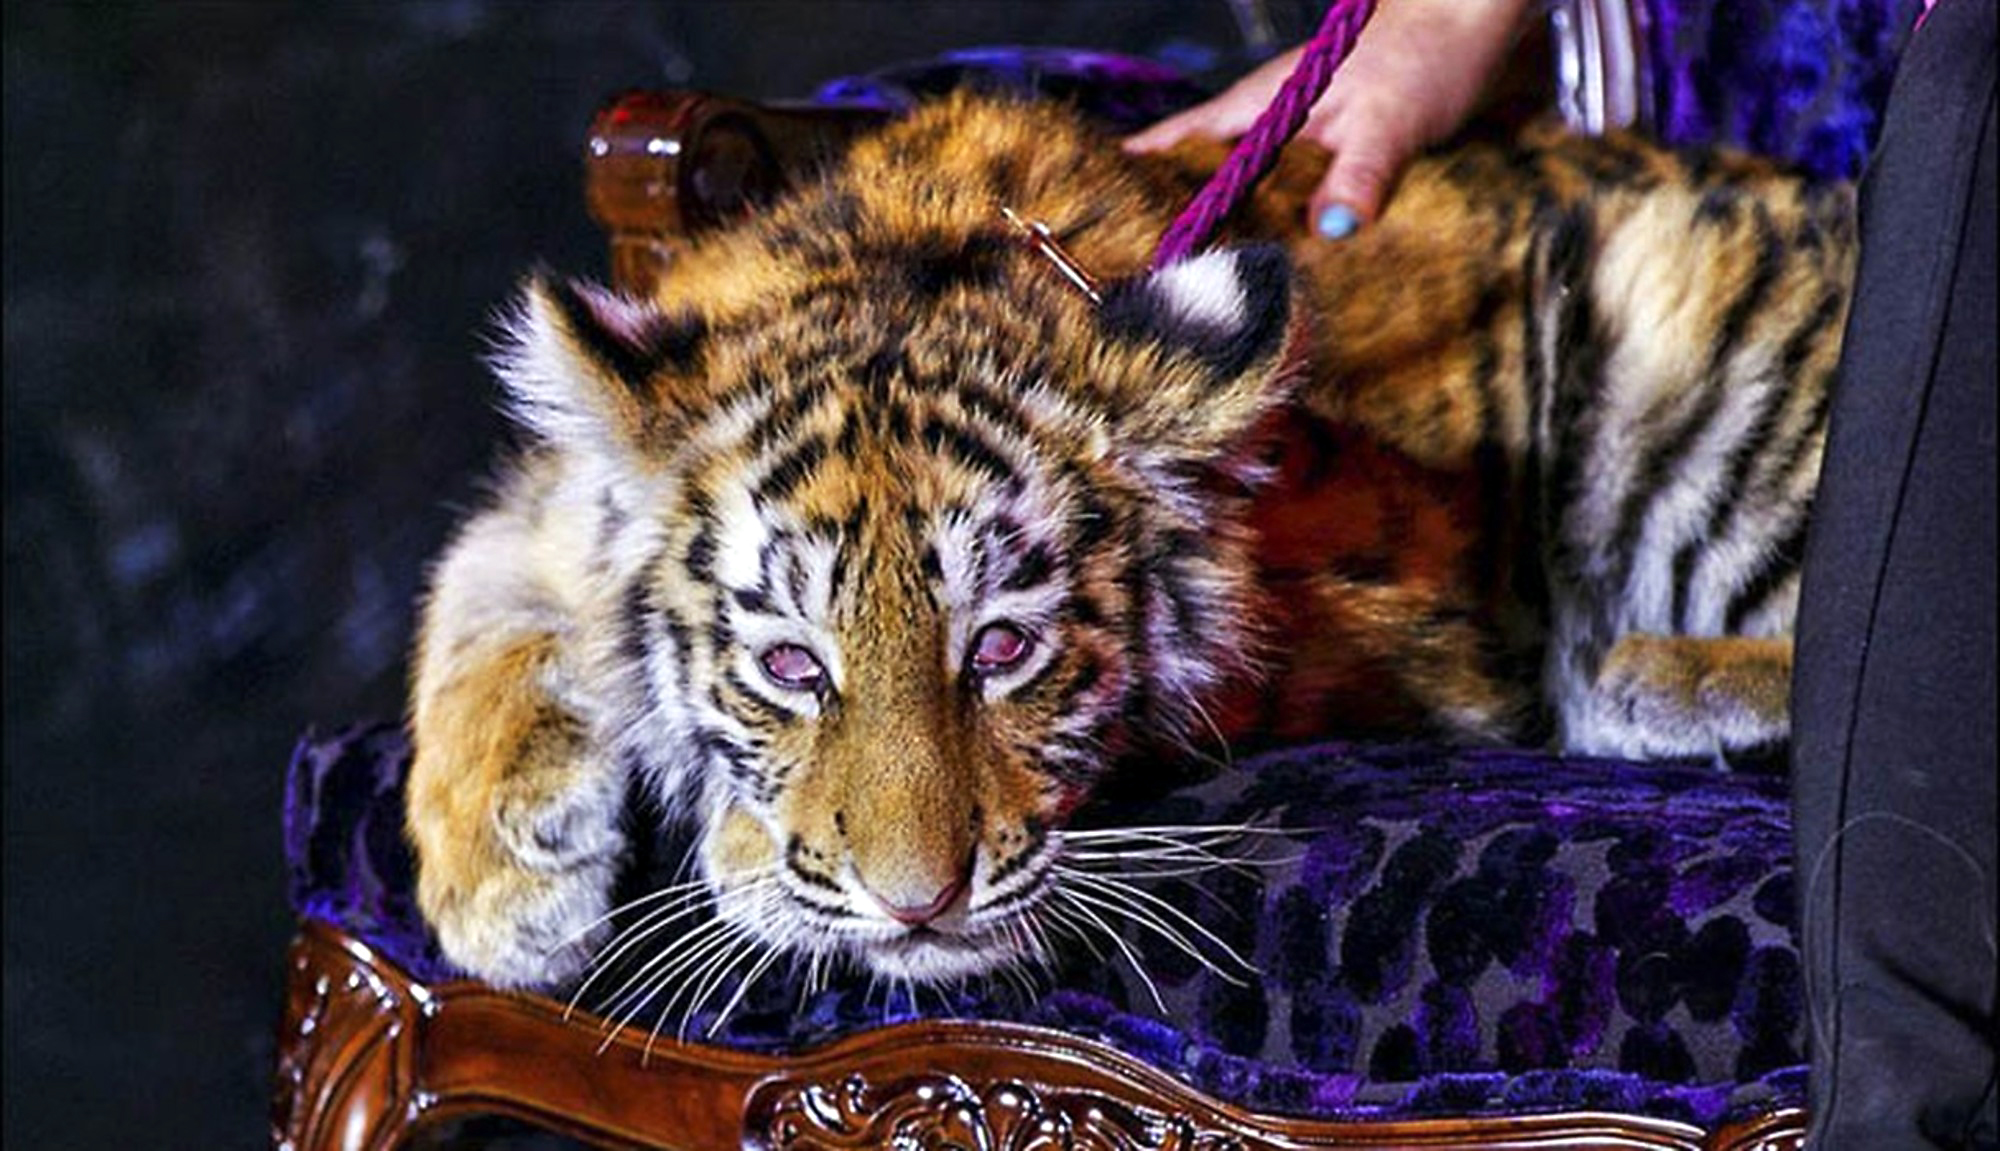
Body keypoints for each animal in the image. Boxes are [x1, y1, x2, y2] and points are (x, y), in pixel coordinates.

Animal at [406, 91, 1851, 994]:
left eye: (1002, 648)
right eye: (792, 667)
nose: (915, 903)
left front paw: (744, 862)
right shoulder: (553, 507)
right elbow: (479, 583)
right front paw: (502, 890)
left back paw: (1648, 678)